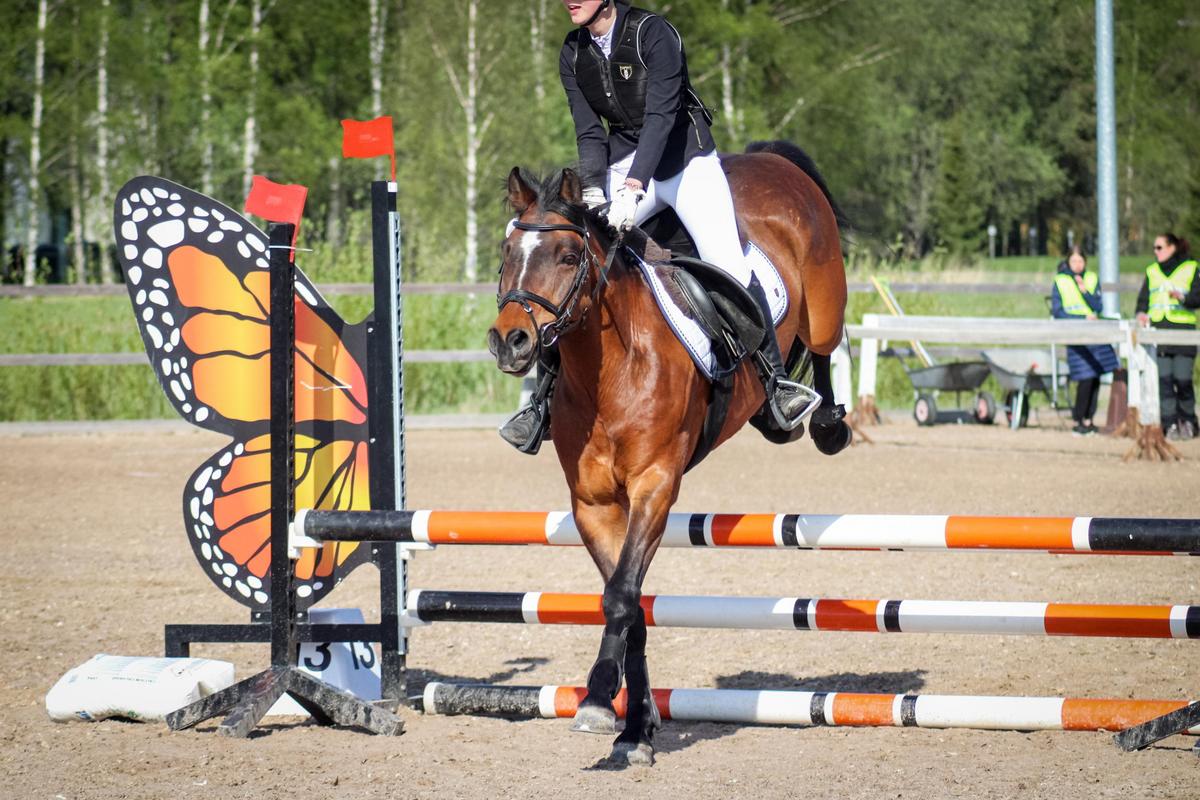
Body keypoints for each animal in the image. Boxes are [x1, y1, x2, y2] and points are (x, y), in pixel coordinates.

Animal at [486, 141, 849, 766]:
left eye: (566, 256)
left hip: (824, 303)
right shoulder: (594, 504)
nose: (510, 342)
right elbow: (629, 604)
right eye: (509, 253)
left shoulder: (654, 486)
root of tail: (769, 160)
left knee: (825, 346)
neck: (610, 369)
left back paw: (820, 419)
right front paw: (635, 726)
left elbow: (621, 596)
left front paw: (599, 702)